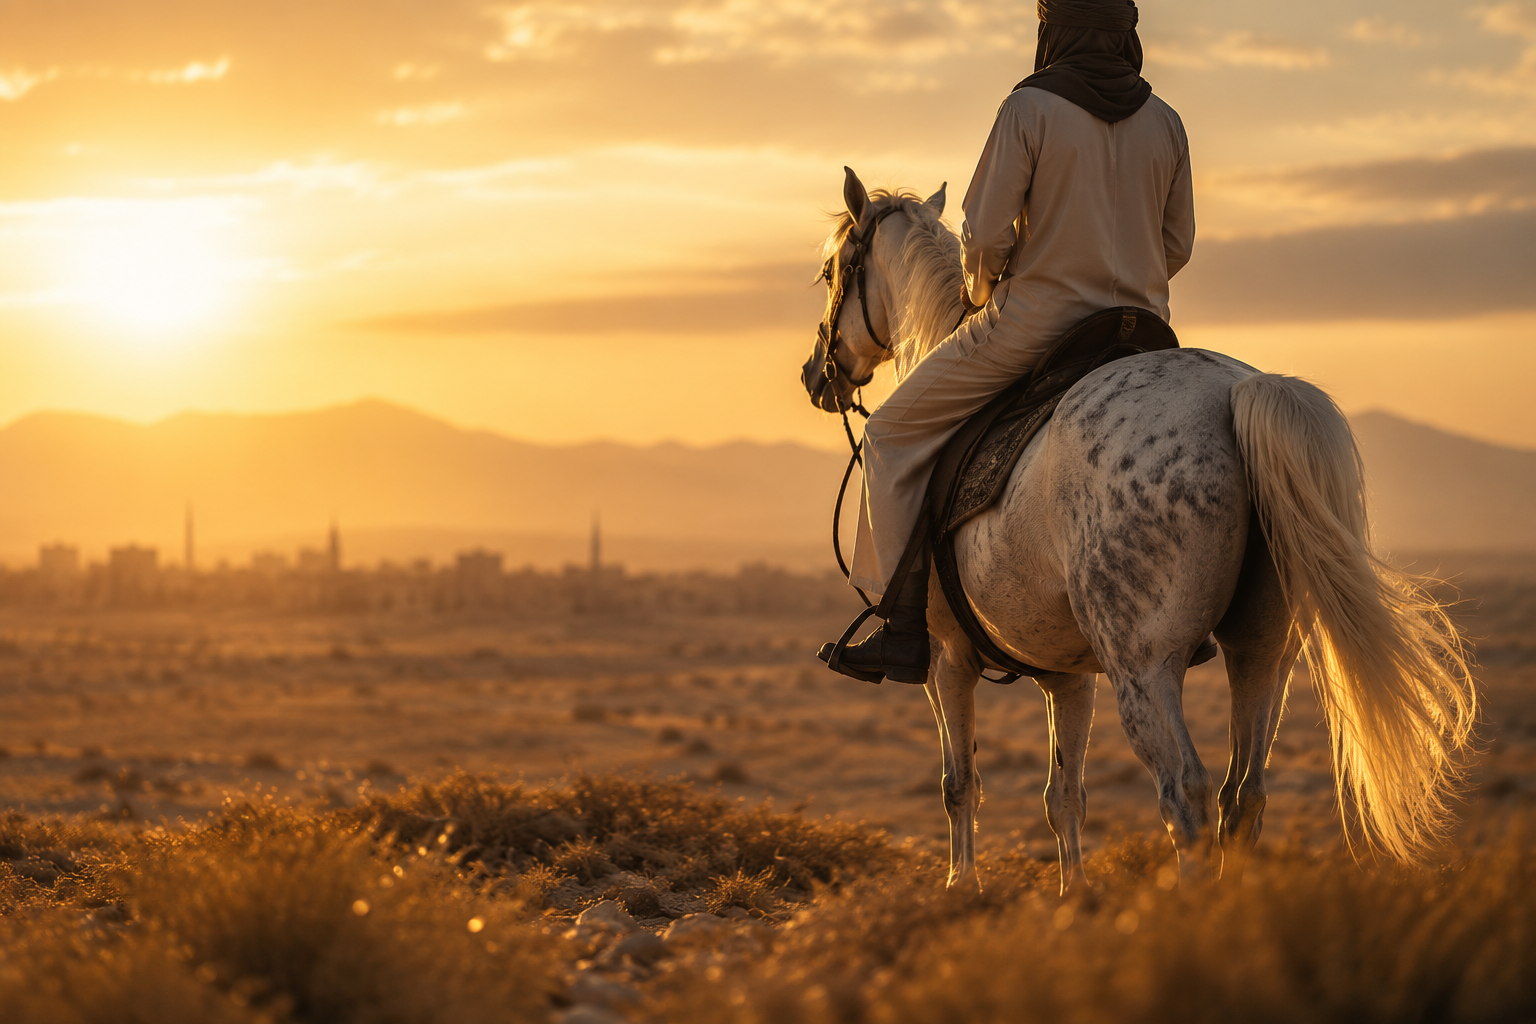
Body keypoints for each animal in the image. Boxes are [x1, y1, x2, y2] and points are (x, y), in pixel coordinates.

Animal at [800, 170, 1478, 892]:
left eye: (833, 269)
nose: (816, 374)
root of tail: (1234, 393)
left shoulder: (947, 657)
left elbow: (961, 784)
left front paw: (962, 888)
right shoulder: (1068, 676)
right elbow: (1064, 797)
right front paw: (1073, 895)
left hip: (1145, 666)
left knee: (1188, 794)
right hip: (1263, 652)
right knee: (1245, 792)